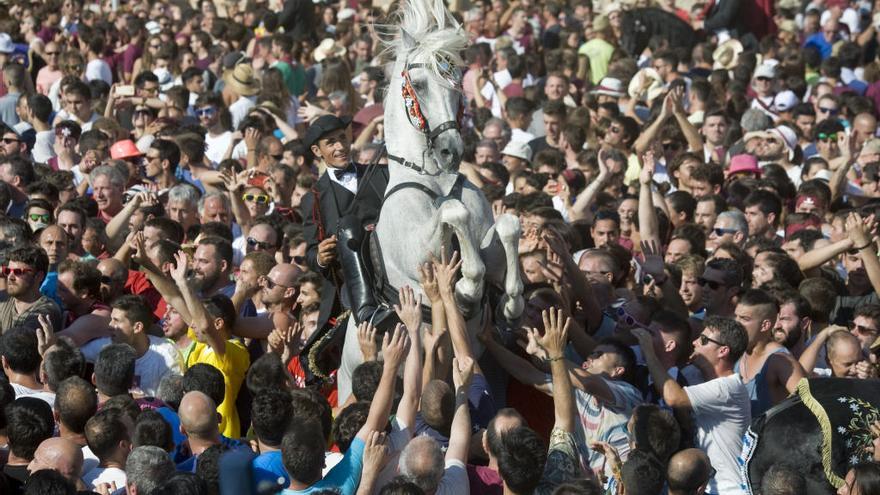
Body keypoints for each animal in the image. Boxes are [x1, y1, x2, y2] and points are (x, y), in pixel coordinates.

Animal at [334, 0, 524, 400]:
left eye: (458, 85)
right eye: (419, 85)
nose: (452, 150)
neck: (436, 180)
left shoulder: (488, 236)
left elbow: (507, 225)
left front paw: (511, 304)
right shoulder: (417, 253)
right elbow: (454, 213)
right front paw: (466, 288)